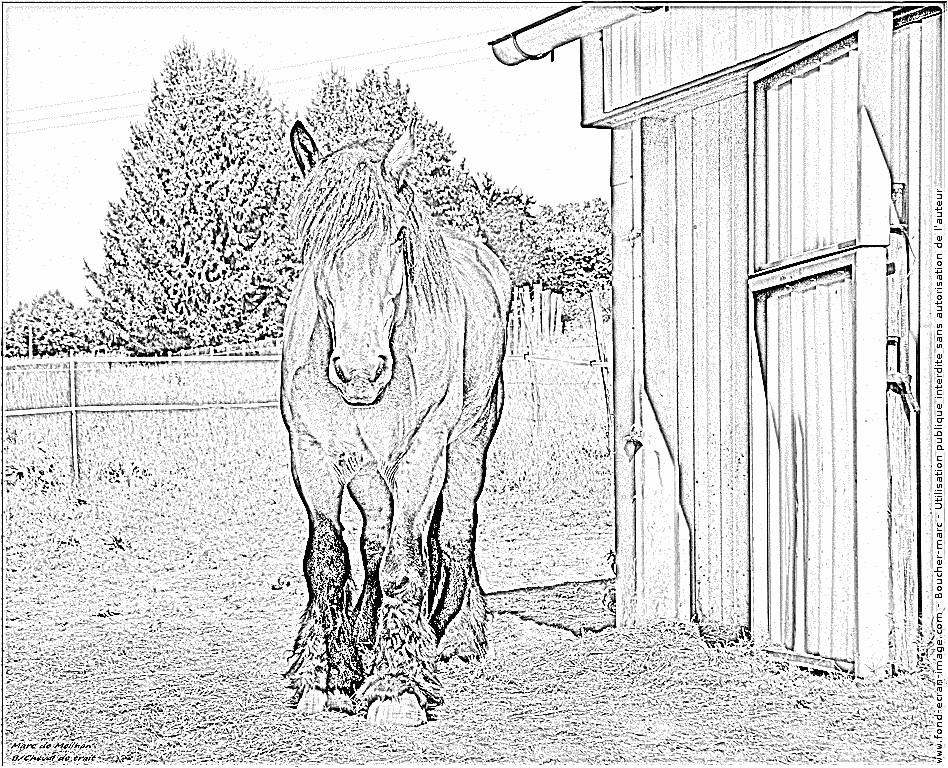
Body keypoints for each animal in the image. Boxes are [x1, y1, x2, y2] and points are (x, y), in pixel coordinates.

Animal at [281, 118, 510, 727]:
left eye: (398, 240)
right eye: (313, 244)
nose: (360, 373)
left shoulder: (420, 455)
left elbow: (404, 563)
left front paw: (395, 685)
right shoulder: (313, 454)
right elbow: (330, 563)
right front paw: (323, 673)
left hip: (466, 446)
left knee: (455, 532)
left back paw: (457, 635)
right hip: (367, 471)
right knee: (374, 543)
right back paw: (368, 639)